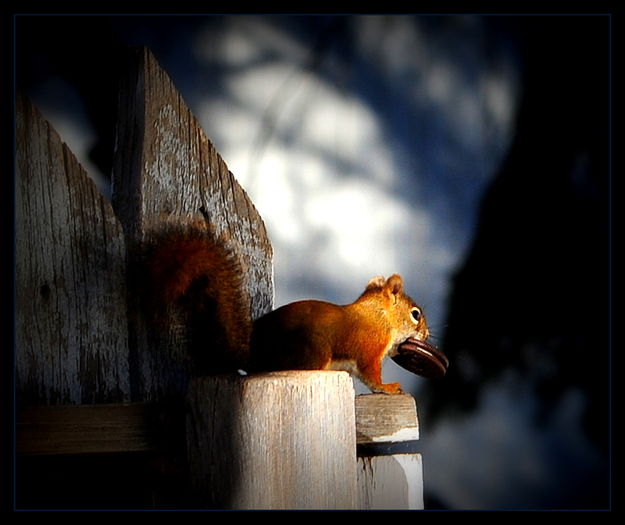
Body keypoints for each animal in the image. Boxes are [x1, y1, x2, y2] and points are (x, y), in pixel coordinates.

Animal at [146, 224, 438, 392]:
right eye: (415, 315)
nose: (426, 334)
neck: (379, 317)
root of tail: (253, 352)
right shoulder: (368, 348)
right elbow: (371, 376)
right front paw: (388, 387)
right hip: (313, 352)